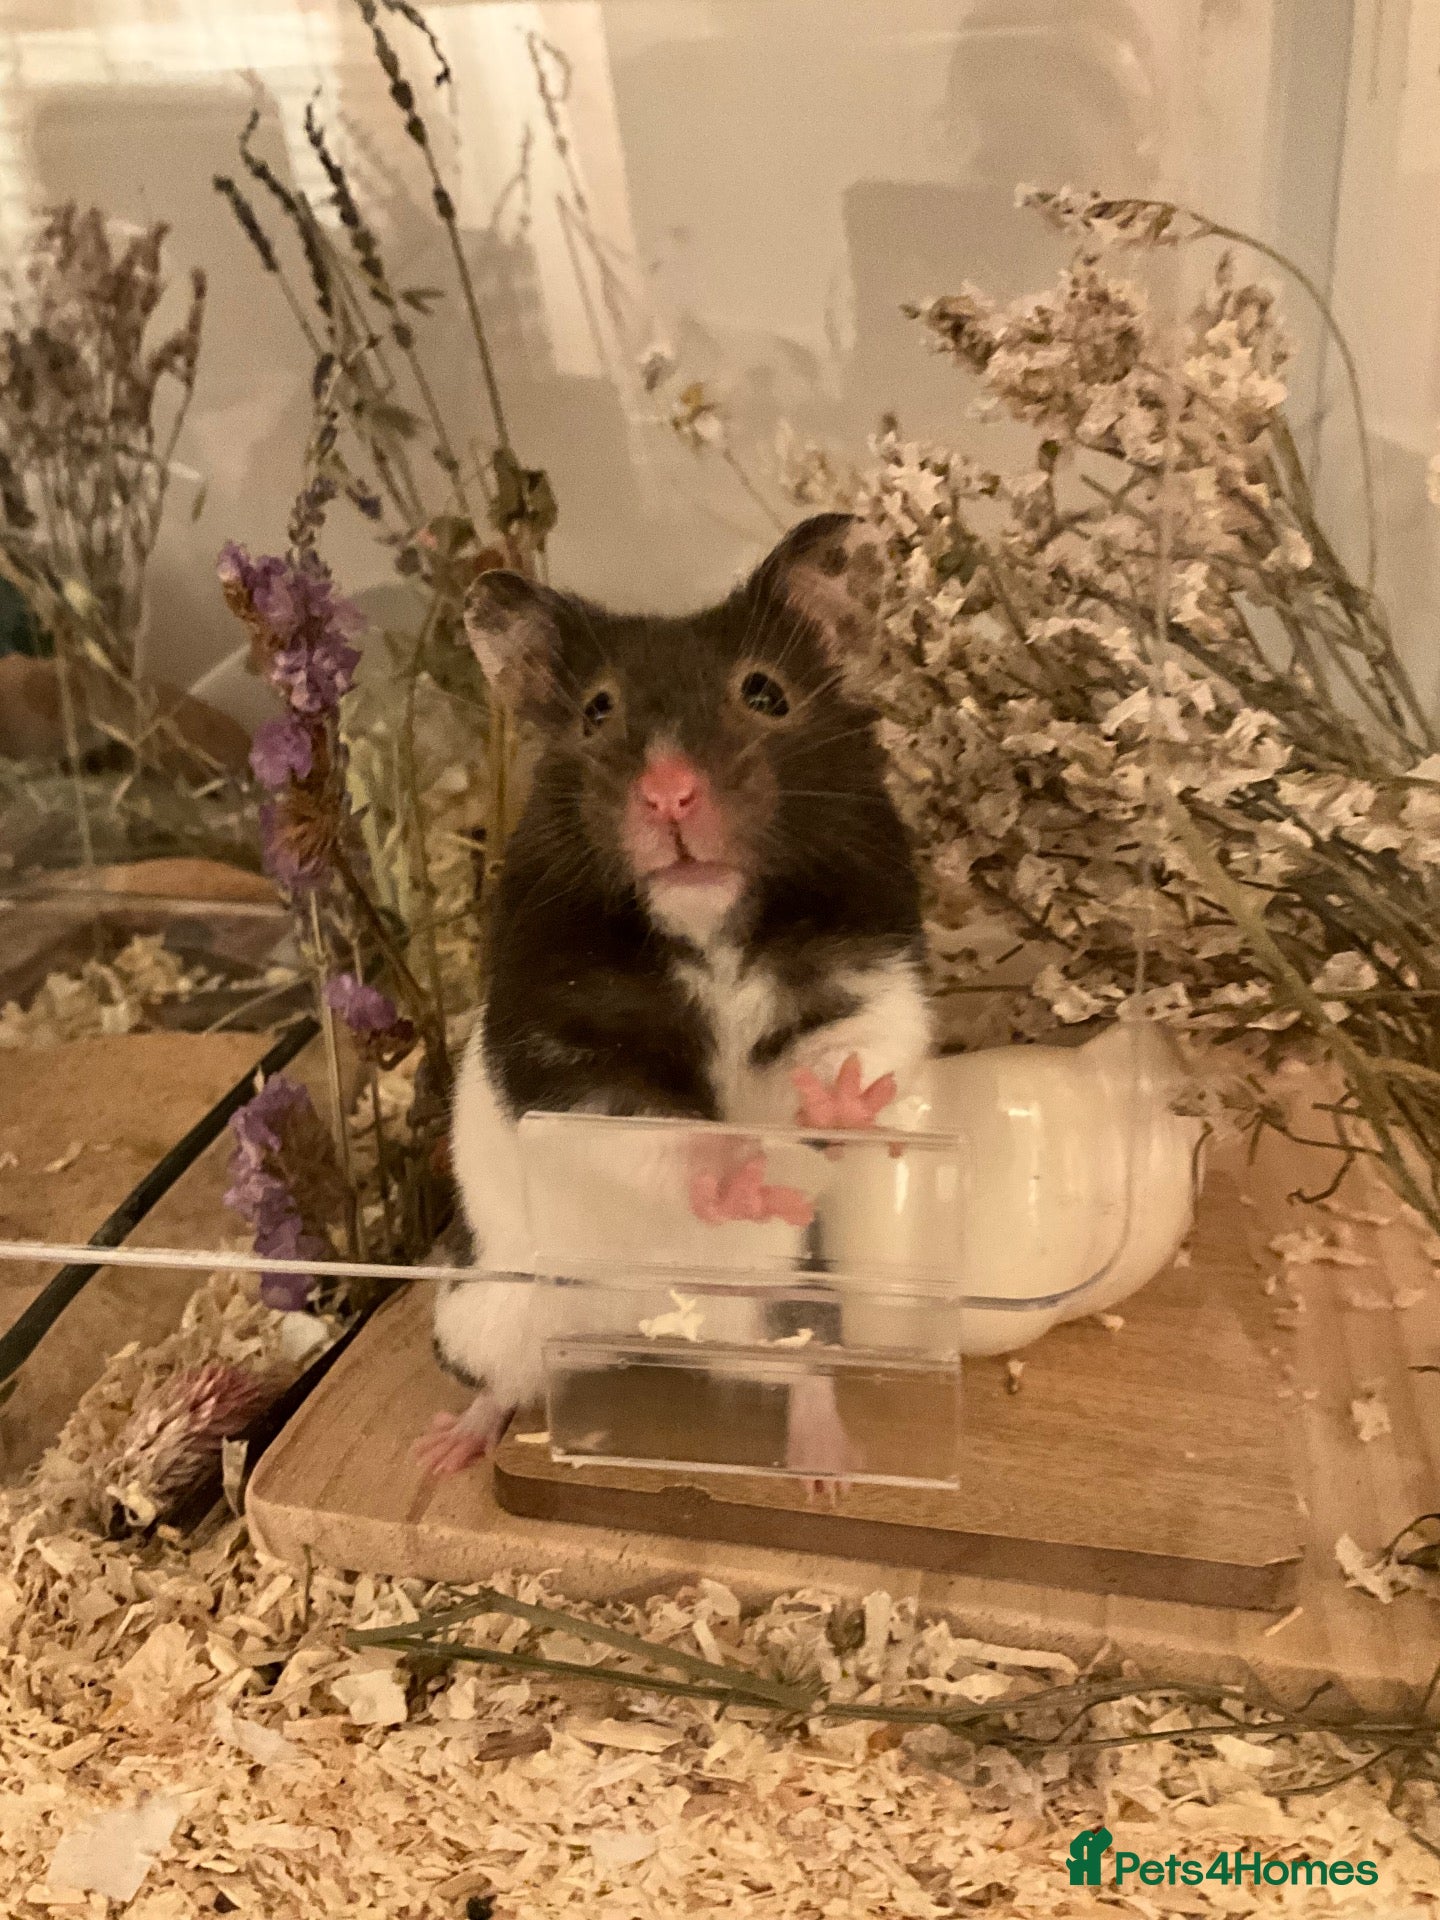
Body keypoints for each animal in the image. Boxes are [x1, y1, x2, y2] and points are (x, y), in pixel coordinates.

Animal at [416, 512, 933, 1485]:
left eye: (765, 693)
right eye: (597, 711)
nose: (669, 795)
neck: (706, 925)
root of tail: (650, 1330)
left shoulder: (873, 978)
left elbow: (855, 1050)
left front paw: (835, 1107)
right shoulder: (561, 1048)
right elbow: (647, 1125)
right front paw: (735, 1177)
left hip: (790, 1305)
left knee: (808, 1372)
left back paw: (825, 1472)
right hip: (490, 1306)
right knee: (503, 1382)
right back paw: (441, 1450)